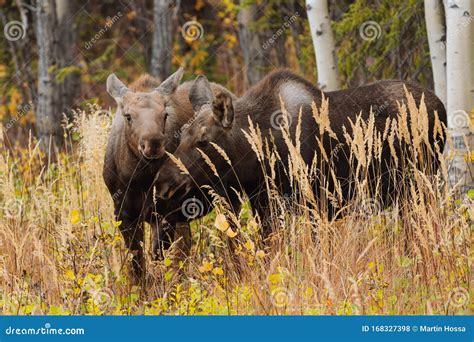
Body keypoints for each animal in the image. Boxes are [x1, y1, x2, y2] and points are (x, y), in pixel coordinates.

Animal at [154, 71, 446, 236]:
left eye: (203, 141)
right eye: (181, 135)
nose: (163, 183)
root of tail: (440, 105)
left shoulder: (318, 202)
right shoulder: (264, 205)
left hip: (420, 183)